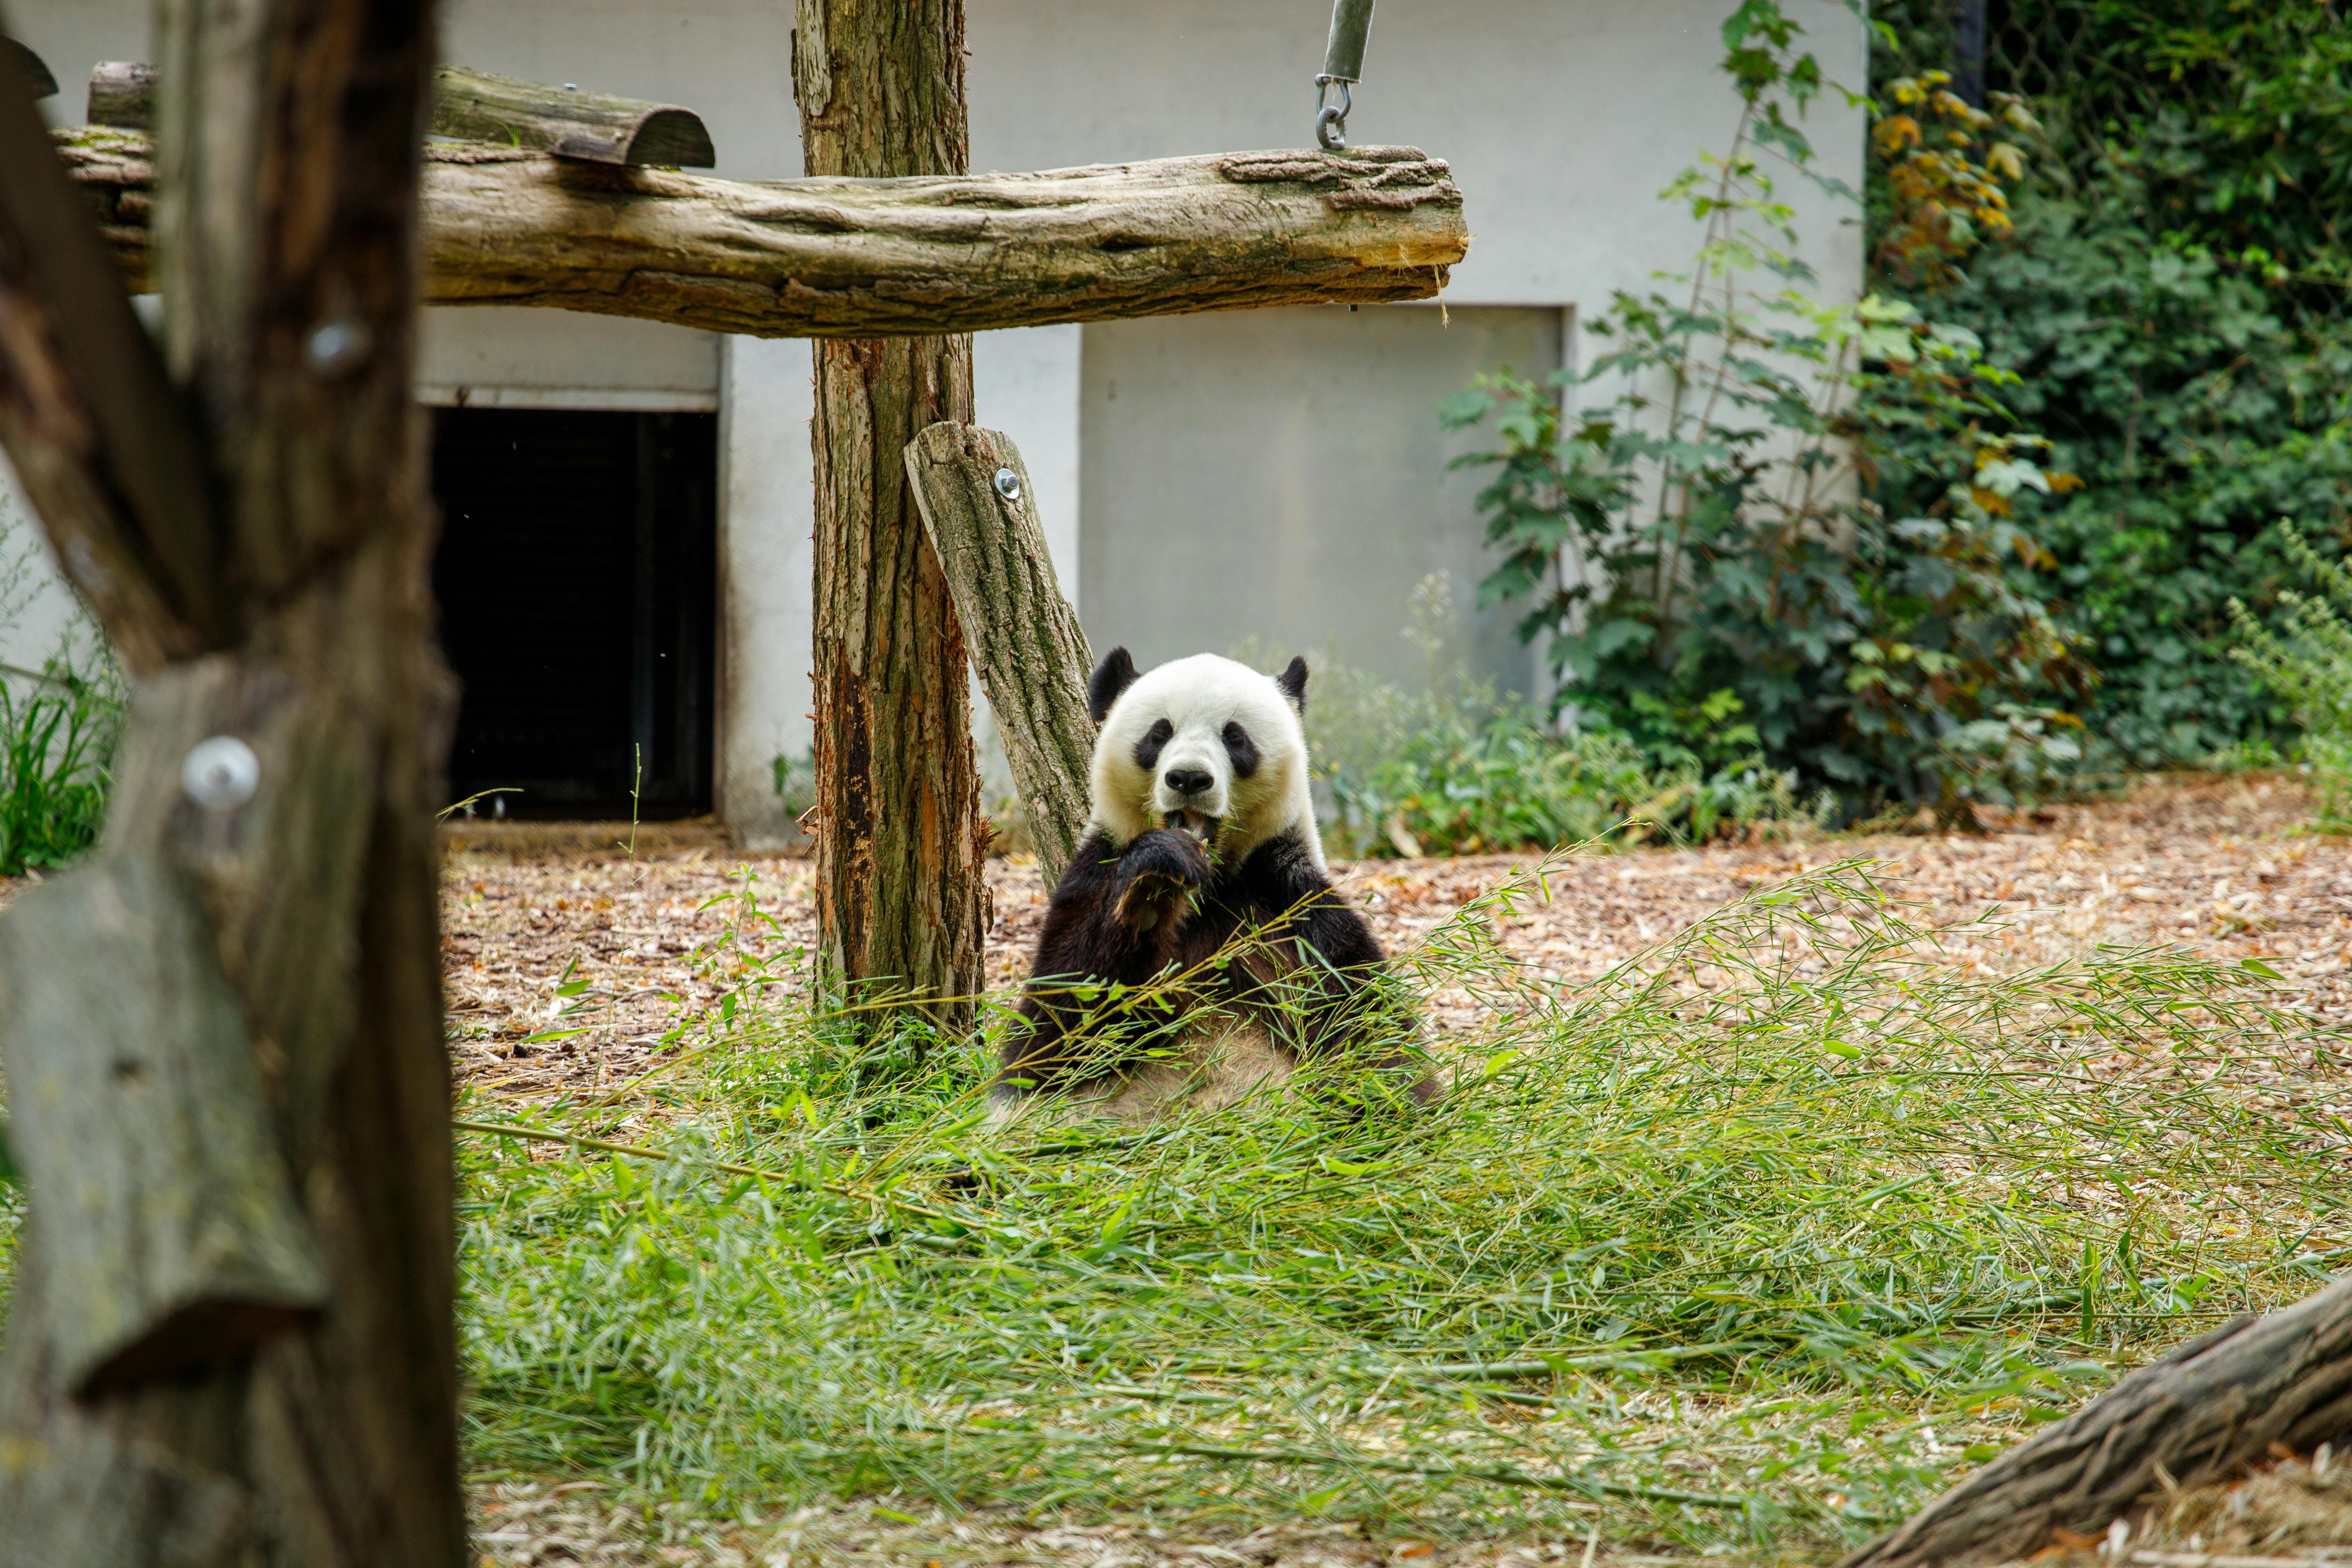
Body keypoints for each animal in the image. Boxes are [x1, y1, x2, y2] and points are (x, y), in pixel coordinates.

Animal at [991, 646, 1435, 1121]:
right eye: (1160, 732)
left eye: (1235, 737)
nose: (1188, 778)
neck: (1208, 885)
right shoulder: (1094, 870)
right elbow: (1058, 1029)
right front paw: (1151, 886)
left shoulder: (1291, 904)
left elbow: (1369, 1026)